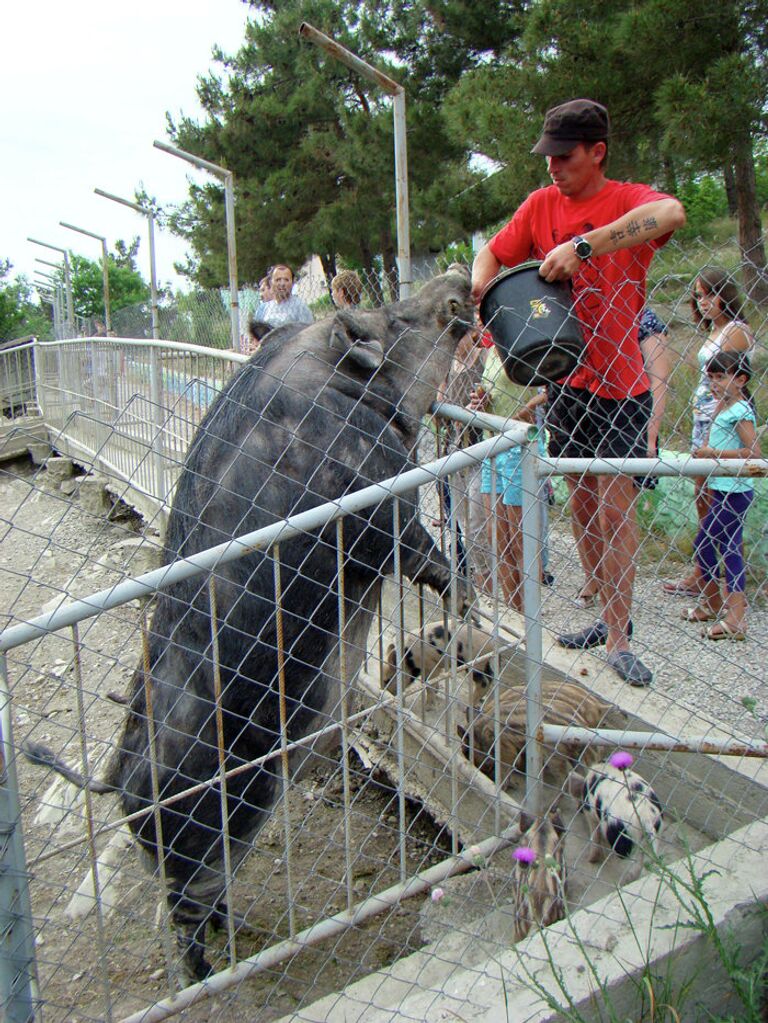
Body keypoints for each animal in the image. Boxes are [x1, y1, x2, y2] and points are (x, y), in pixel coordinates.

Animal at [24, 265, 474, 982]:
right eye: (391, 319)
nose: (458, 278)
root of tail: (117, 784)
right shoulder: (377, 494)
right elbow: (419, 550)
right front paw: (466, 600)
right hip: (199, 841)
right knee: (182, 918)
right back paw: (213, 971)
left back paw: (236, 930)